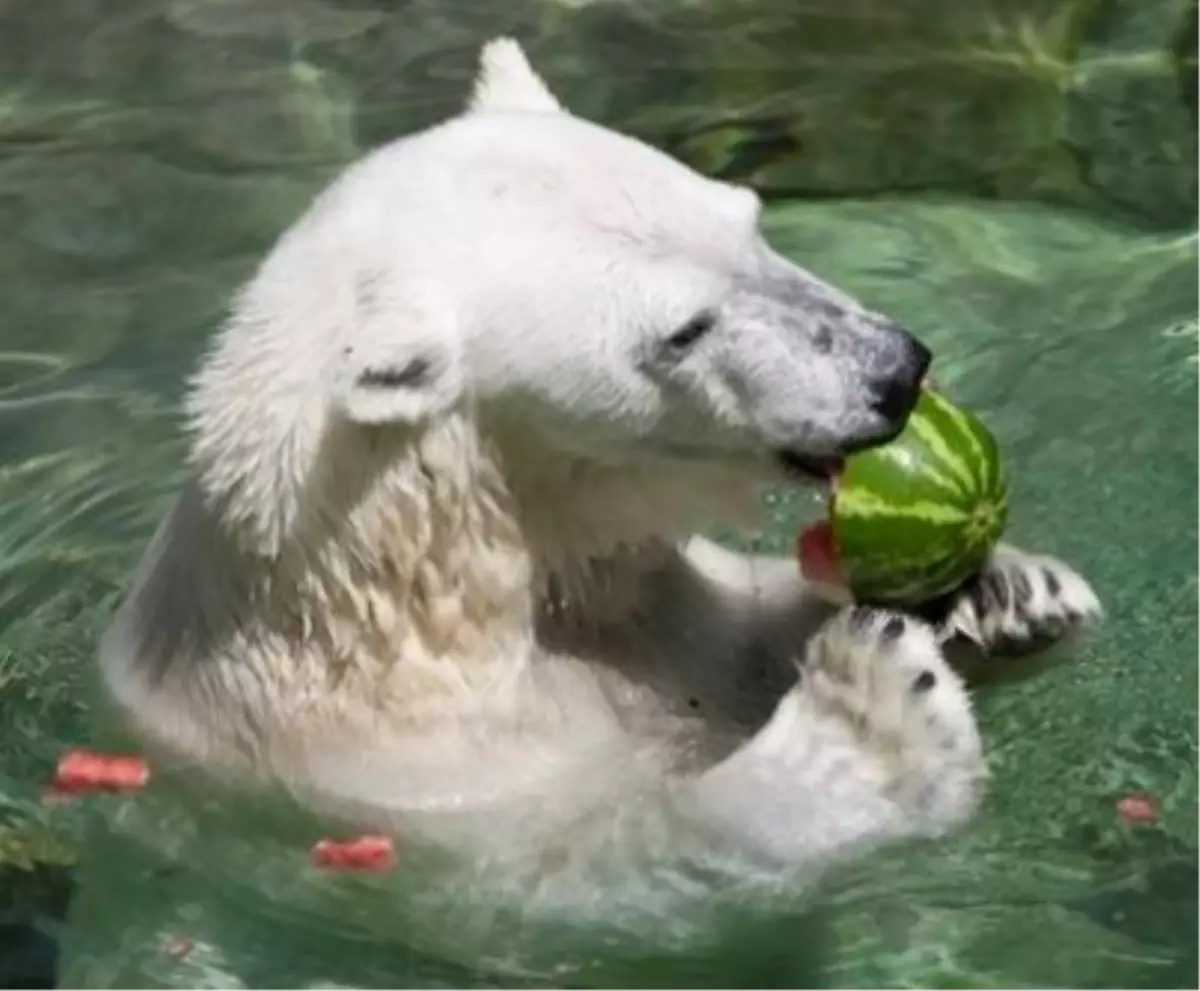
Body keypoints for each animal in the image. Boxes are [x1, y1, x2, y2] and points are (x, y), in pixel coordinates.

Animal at [93, 36, 1099, 959]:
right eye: (683, 330)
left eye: (748, 219)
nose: (894, 369)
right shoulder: (413, 782)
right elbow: (608, 880)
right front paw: (872, 717)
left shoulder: (655, 616)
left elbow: (738, 627)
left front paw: (1009, 594)